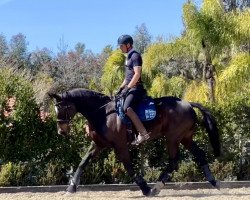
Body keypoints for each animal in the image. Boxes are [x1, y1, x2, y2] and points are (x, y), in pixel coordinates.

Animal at [48, 88, 221, 196]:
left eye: (62, 108)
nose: (61, 132)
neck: (103, 113)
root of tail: (188, 104)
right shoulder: (98, 144)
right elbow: (83, 163)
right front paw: (71, 187)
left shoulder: (120, 146)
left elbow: (129, 168)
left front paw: (145, 189)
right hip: (185, 138)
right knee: (199, 154)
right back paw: (214, 182)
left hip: (173, 138)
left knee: (173, 161)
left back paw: (156, 187)